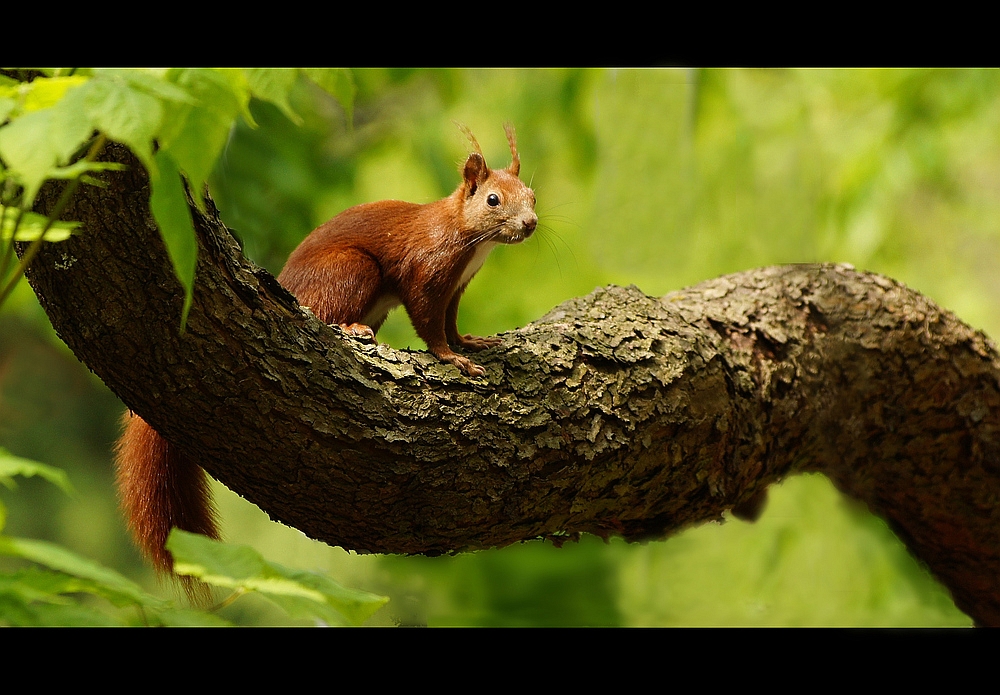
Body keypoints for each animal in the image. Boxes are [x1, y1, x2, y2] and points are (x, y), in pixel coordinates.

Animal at [115, 123, 540, 576]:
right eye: (493, 199)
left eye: (532, 196)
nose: (531, 223)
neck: (468, 238)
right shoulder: (426, 271)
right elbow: (429, 323)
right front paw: (452, 359)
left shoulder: (457, 287)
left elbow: (451, 322)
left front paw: (470, 343)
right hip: (351, 270)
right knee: (324, 313)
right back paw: (351, 328)